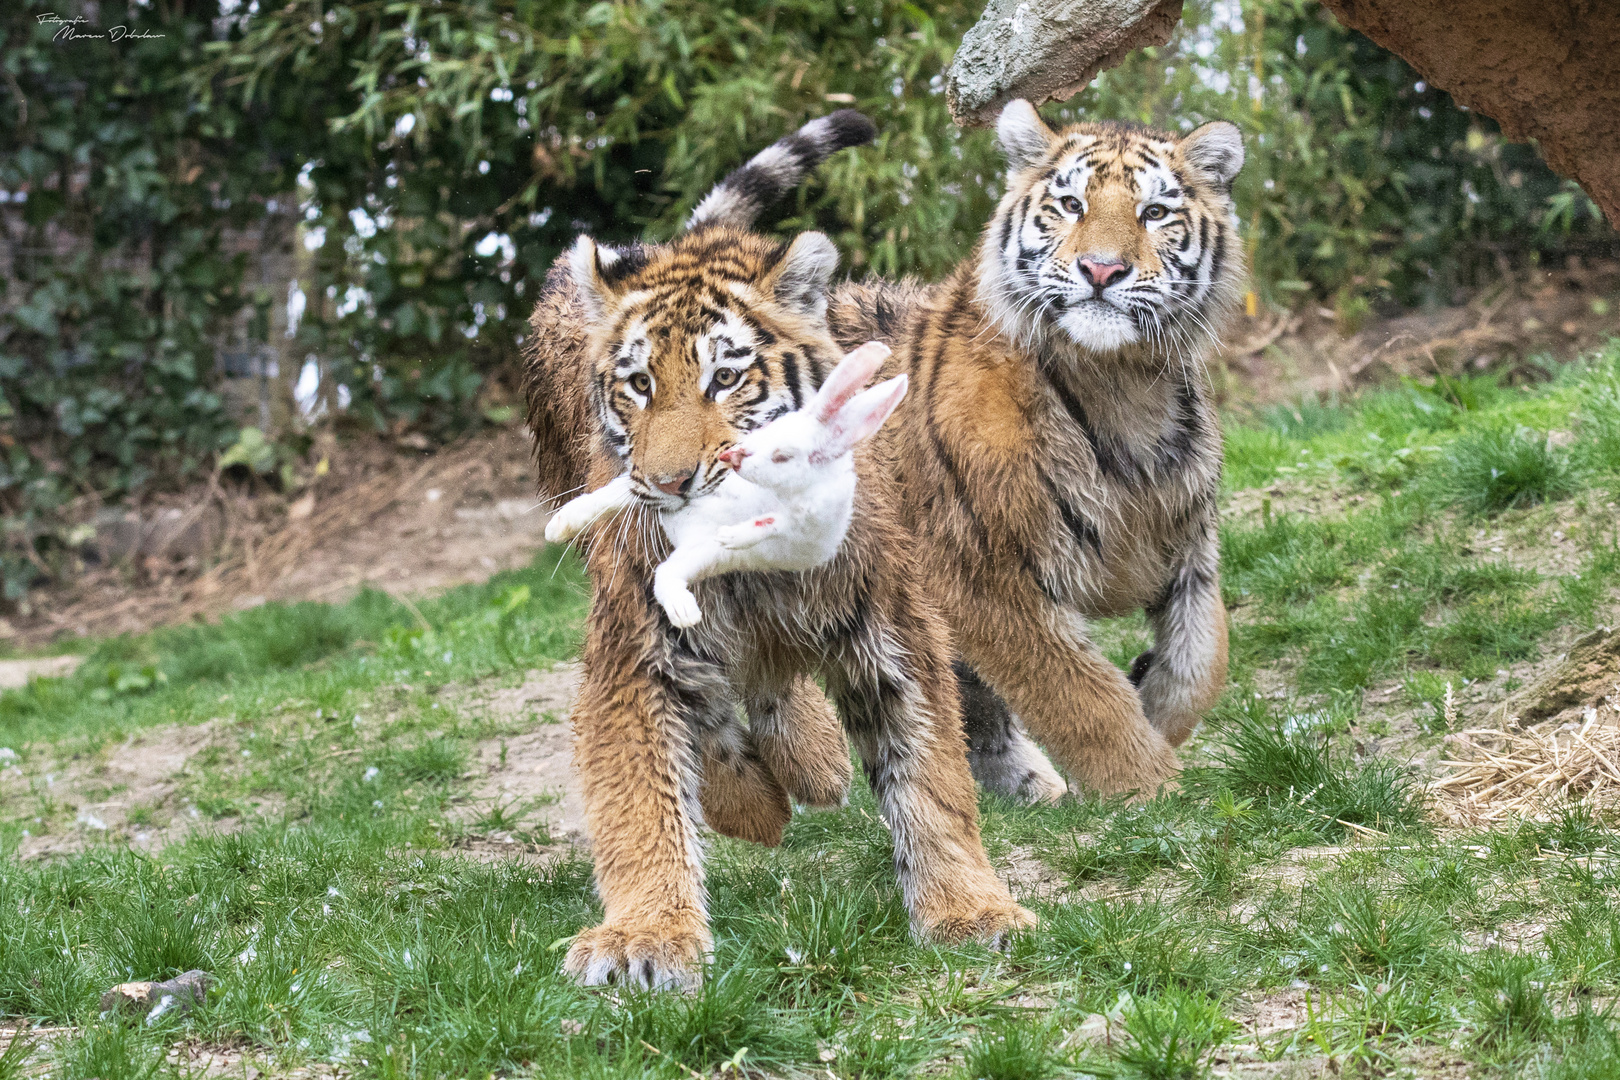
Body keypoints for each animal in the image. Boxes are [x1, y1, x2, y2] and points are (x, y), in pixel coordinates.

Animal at [547, 341, 907, 628]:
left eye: (783, 456)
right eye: (766, 430)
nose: (732, 456)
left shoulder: (808, 521)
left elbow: (772, 523)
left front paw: (733, 535)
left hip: (699, 553)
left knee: (664, 569)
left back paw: (685, 612)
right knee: (621, 496)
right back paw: (558, 527)